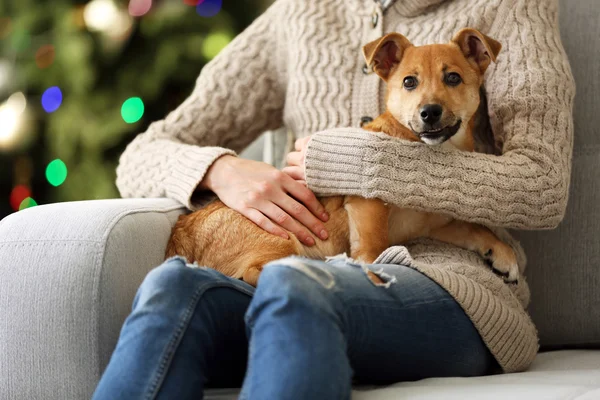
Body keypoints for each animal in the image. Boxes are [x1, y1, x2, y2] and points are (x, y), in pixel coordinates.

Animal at [166, 28, 516, 284]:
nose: (429, 112)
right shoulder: (366, 205)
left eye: (453, 78)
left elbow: (476, 229)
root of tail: (183, 234)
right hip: (278, 236)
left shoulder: (436, 224)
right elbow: (373, 246)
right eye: (409, 82)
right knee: (255, 271)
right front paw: (373, 272)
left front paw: (500, 252)